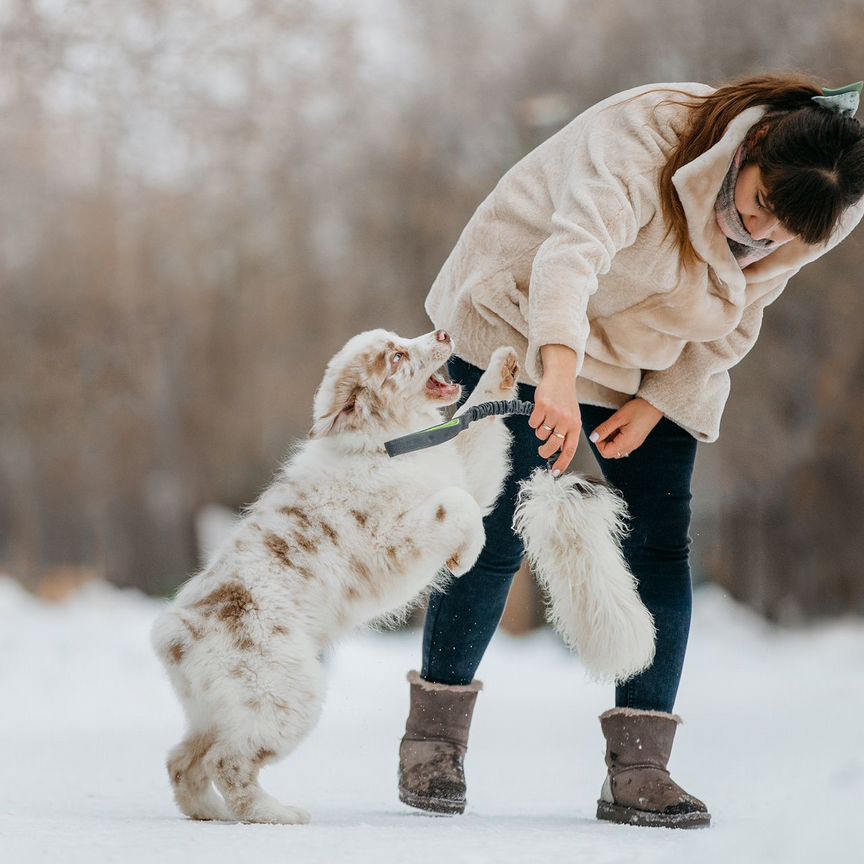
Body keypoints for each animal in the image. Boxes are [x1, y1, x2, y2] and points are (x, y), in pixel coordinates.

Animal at [150, 330, 520, 824]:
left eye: (400, 338)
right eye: (396, 357)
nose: (443, 333)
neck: (387, 442)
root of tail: (174, 635)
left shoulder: (458, 465)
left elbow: (475, 427)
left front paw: (505, 363)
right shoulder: (393, 540)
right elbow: (456, 505)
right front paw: (466, 555)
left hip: (218, 709)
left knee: (183, 761)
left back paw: (211, 811)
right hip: (287, 697)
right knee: (227, 763)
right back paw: (276, 813)